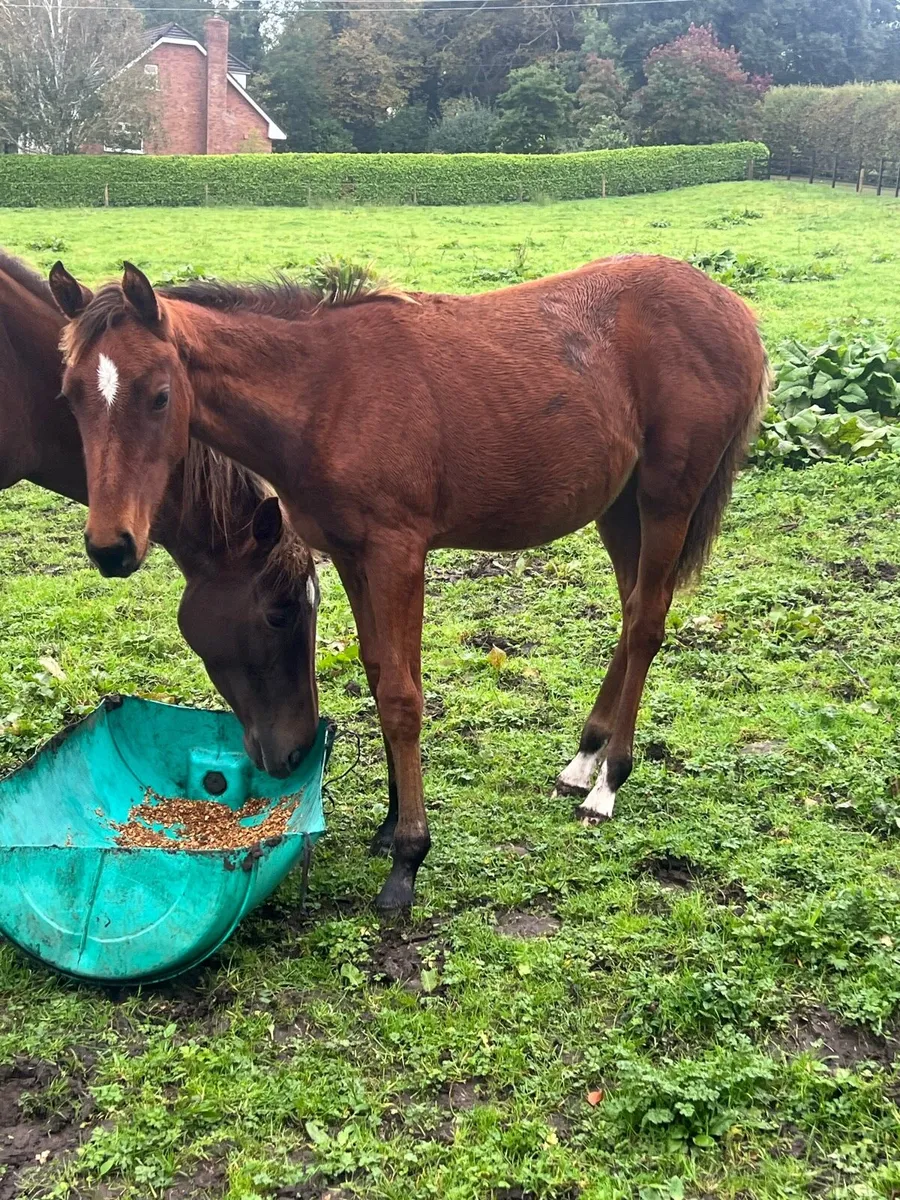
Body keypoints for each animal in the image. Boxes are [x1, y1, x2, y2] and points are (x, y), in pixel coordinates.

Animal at [50, 254, 770, 911]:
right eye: (70, 395)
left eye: (160, 395)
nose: (111, 546)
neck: (324, 393)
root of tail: (737, 313)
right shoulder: (351, 553)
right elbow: (377, 674)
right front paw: (390, 824)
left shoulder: (398, 552)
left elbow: (401, 697)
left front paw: (409, 857)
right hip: (619, 506)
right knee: (632, 609)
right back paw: (584, 758)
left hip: (667, 497)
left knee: (648, 620)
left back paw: (609, 783)